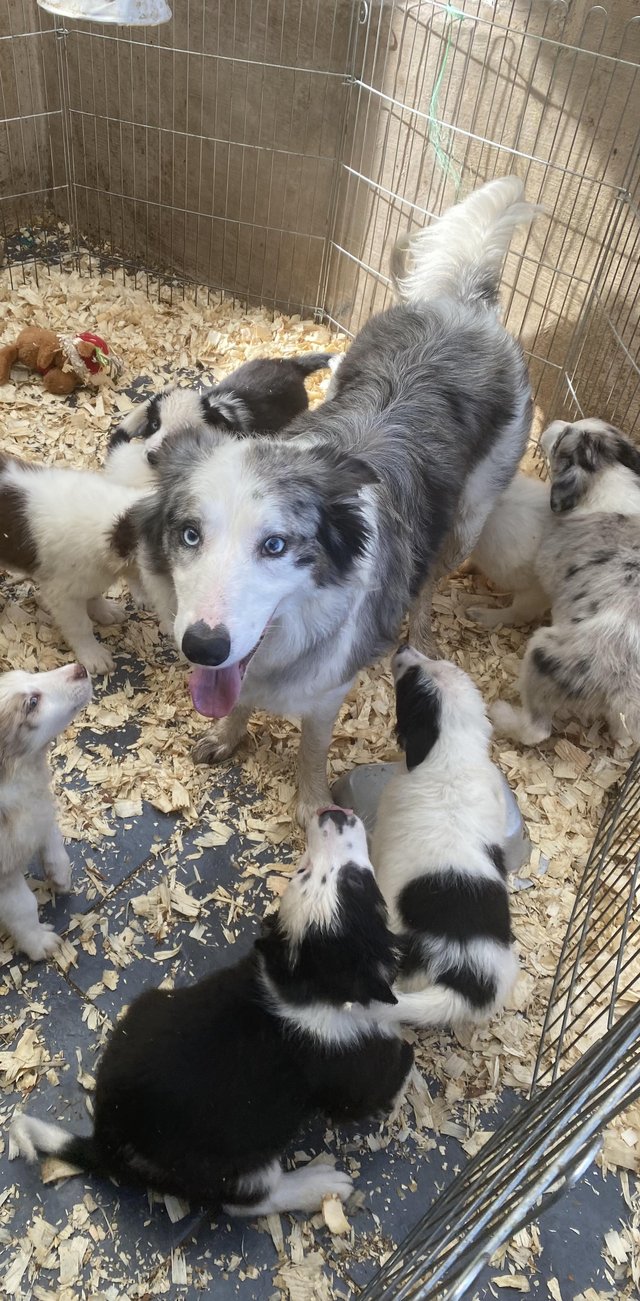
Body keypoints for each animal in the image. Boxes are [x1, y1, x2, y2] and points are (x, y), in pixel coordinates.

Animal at [0, 666, 92, 962]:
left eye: (28, 673)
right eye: (32, 703)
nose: (80, 669)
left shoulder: (37, 804)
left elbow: (50, 830)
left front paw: (60, 873)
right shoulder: (4, 876)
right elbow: (23, 906)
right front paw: (38, 942)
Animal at [10, 806, 413, 1212]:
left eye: (302, 871)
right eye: (356, 882)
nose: (331, 812)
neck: (303, 984)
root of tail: (107, 1144)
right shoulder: (359, 1078)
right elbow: (398, 1062)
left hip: (147, 1004)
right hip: (237, 1164)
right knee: (250, 1200)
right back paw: (322, 1183)